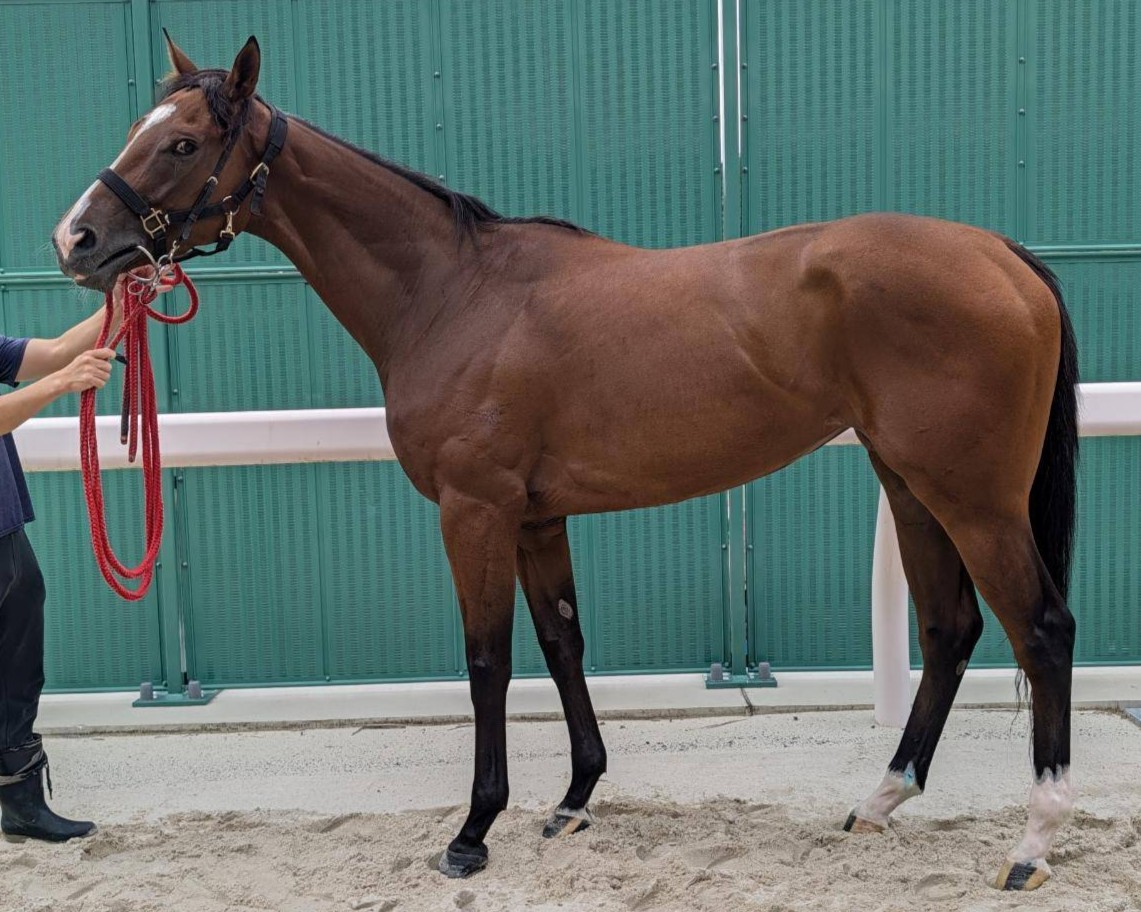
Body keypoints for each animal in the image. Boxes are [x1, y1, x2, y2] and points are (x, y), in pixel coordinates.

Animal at [53, 35, 1078, 891]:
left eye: (182, 143)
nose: (76, 239)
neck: (452, 292)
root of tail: (1000, 254)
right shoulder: (537, 516)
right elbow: (561, 644)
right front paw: (574, 800)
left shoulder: (472, 511)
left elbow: (487, 661)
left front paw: (472, 832)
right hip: (909, 484)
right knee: (948, 629)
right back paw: (879, 800)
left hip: (973, 498)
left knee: (1040, 628)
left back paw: (1033, 842)